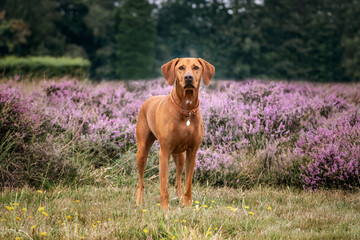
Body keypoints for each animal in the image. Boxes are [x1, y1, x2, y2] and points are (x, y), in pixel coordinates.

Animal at [134, 57, 214, 209]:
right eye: (181, 67)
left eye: (196, 67)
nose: (188, 77)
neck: (186, 109)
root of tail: (150, 98)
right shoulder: (164, 152)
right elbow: (164, 187)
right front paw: (165, 209)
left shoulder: (192, 152)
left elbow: (188, 185)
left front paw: (188, 208)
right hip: (142, 151)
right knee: (140, 181)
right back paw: (139, 202)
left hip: (179, 155)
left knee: (178, 182)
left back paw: (181, 200)